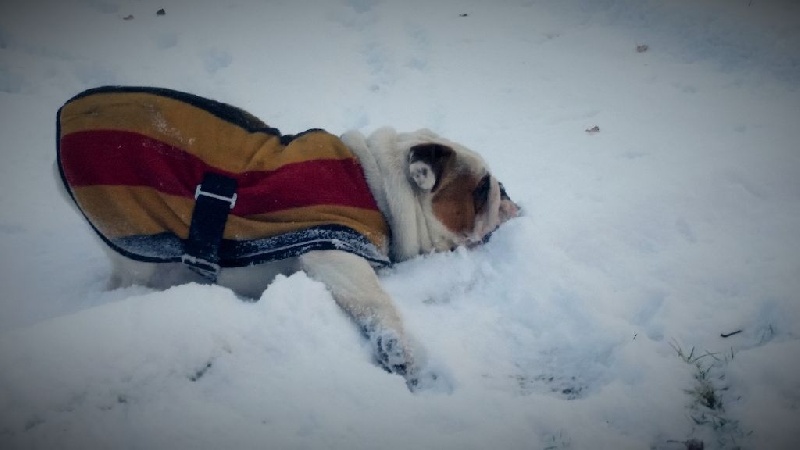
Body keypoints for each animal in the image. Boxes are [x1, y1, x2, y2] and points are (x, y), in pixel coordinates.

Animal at [56, 86, 518, 389]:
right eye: (481, 189)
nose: (506, 195)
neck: (381, 191)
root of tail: (67, 112)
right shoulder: (336, 255)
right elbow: (376, 301)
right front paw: (400, 352)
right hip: (137, 244)